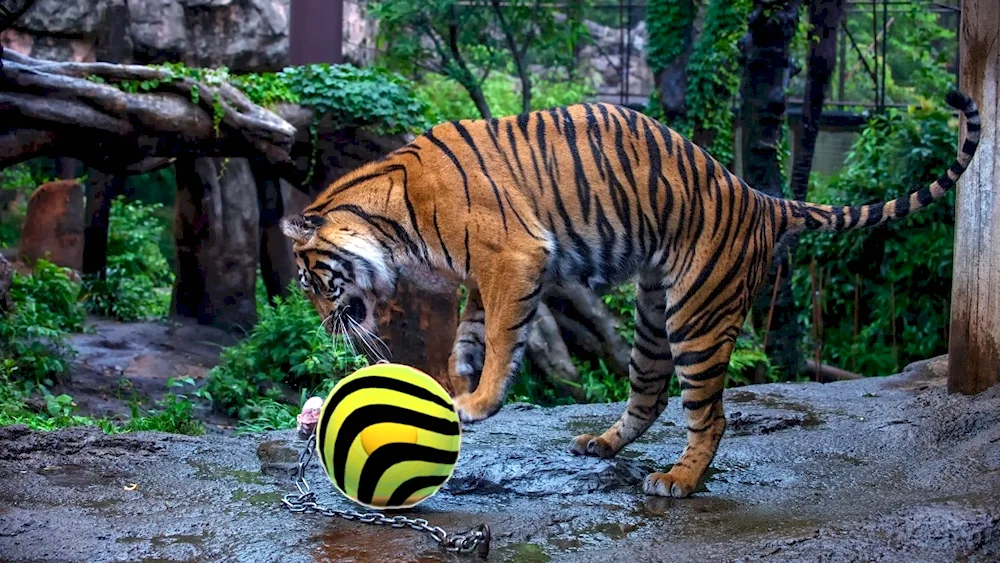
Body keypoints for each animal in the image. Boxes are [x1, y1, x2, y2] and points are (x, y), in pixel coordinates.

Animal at [280, 90, 976, 500]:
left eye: (314, 283)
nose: (326, 326)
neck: (391, 220)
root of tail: (760, 198)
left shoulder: (514, 256)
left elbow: (504, 335)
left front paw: (476, 402)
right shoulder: (487, 272)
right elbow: (471, 331)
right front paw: (459, 377)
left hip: (697, 317)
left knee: (710, 415)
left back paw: (679, 481)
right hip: (652, 315)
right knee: (649, 393)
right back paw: (602, 445)